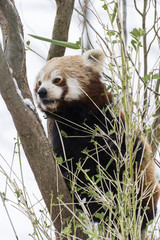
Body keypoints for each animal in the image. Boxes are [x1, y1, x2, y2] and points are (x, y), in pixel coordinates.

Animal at [34, 49, 159, 239]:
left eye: (57, 79)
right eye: (39, 82)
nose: (41, 92)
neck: (74, 118)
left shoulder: (110, 120)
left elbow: (131, 151)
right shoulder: (61, 134)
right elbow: (65, 160)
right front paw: (69, 178)